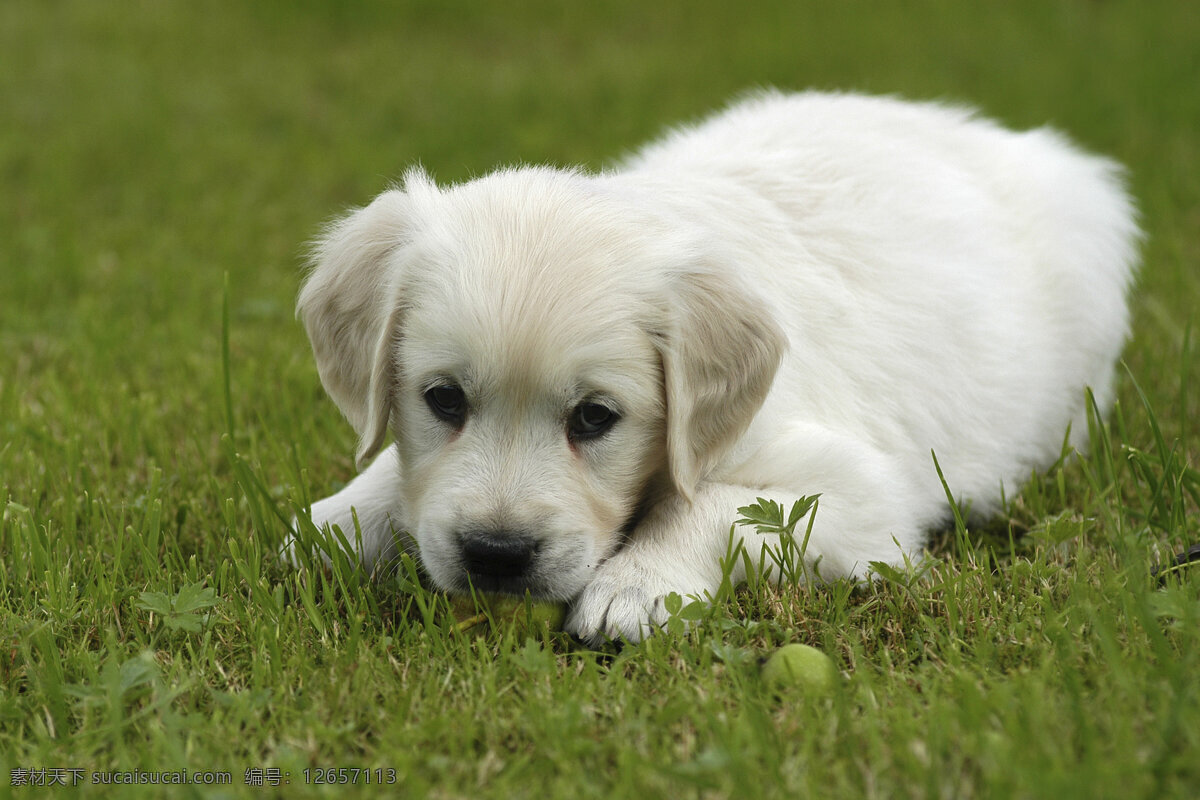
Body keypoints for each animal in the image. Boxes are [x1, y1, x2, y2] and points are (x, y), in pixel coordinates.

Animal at [290, 90, 1132, 642]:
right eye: (443, 400)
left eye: (594, 418)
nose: (496, 554)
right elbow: (392, 481)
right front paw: (336, 523)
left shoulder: (865, 494)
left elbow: (715, 505)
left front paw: (635, 586)